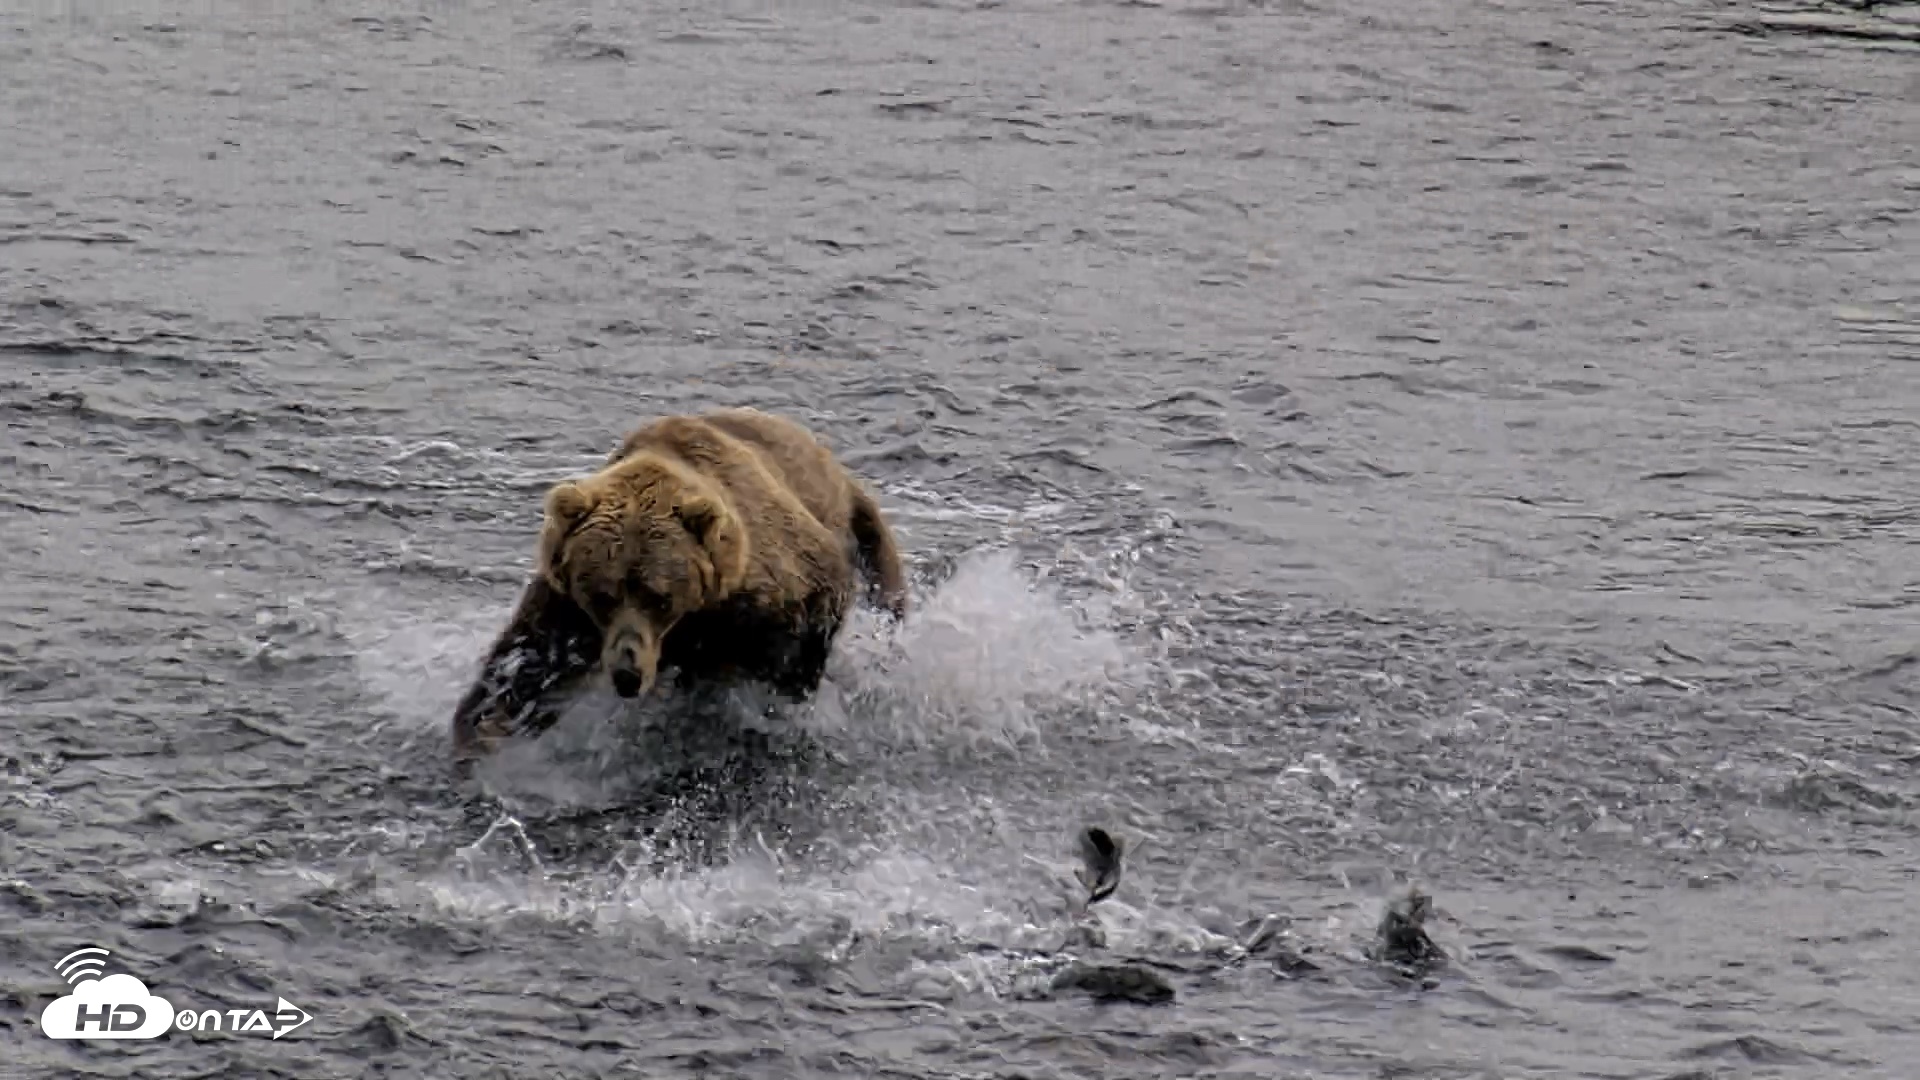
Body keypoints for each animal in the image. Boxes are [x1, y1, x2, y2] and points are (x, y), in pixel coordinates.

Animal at [448, 407, 908, 767]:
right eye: (601, 596)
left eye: (659, 598)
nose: (627, 674)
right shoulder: (565, 606)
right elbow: (526, 664)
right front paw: (480, 730)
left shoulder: (778, 582)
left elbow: (804, 630)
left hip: (864, 529)